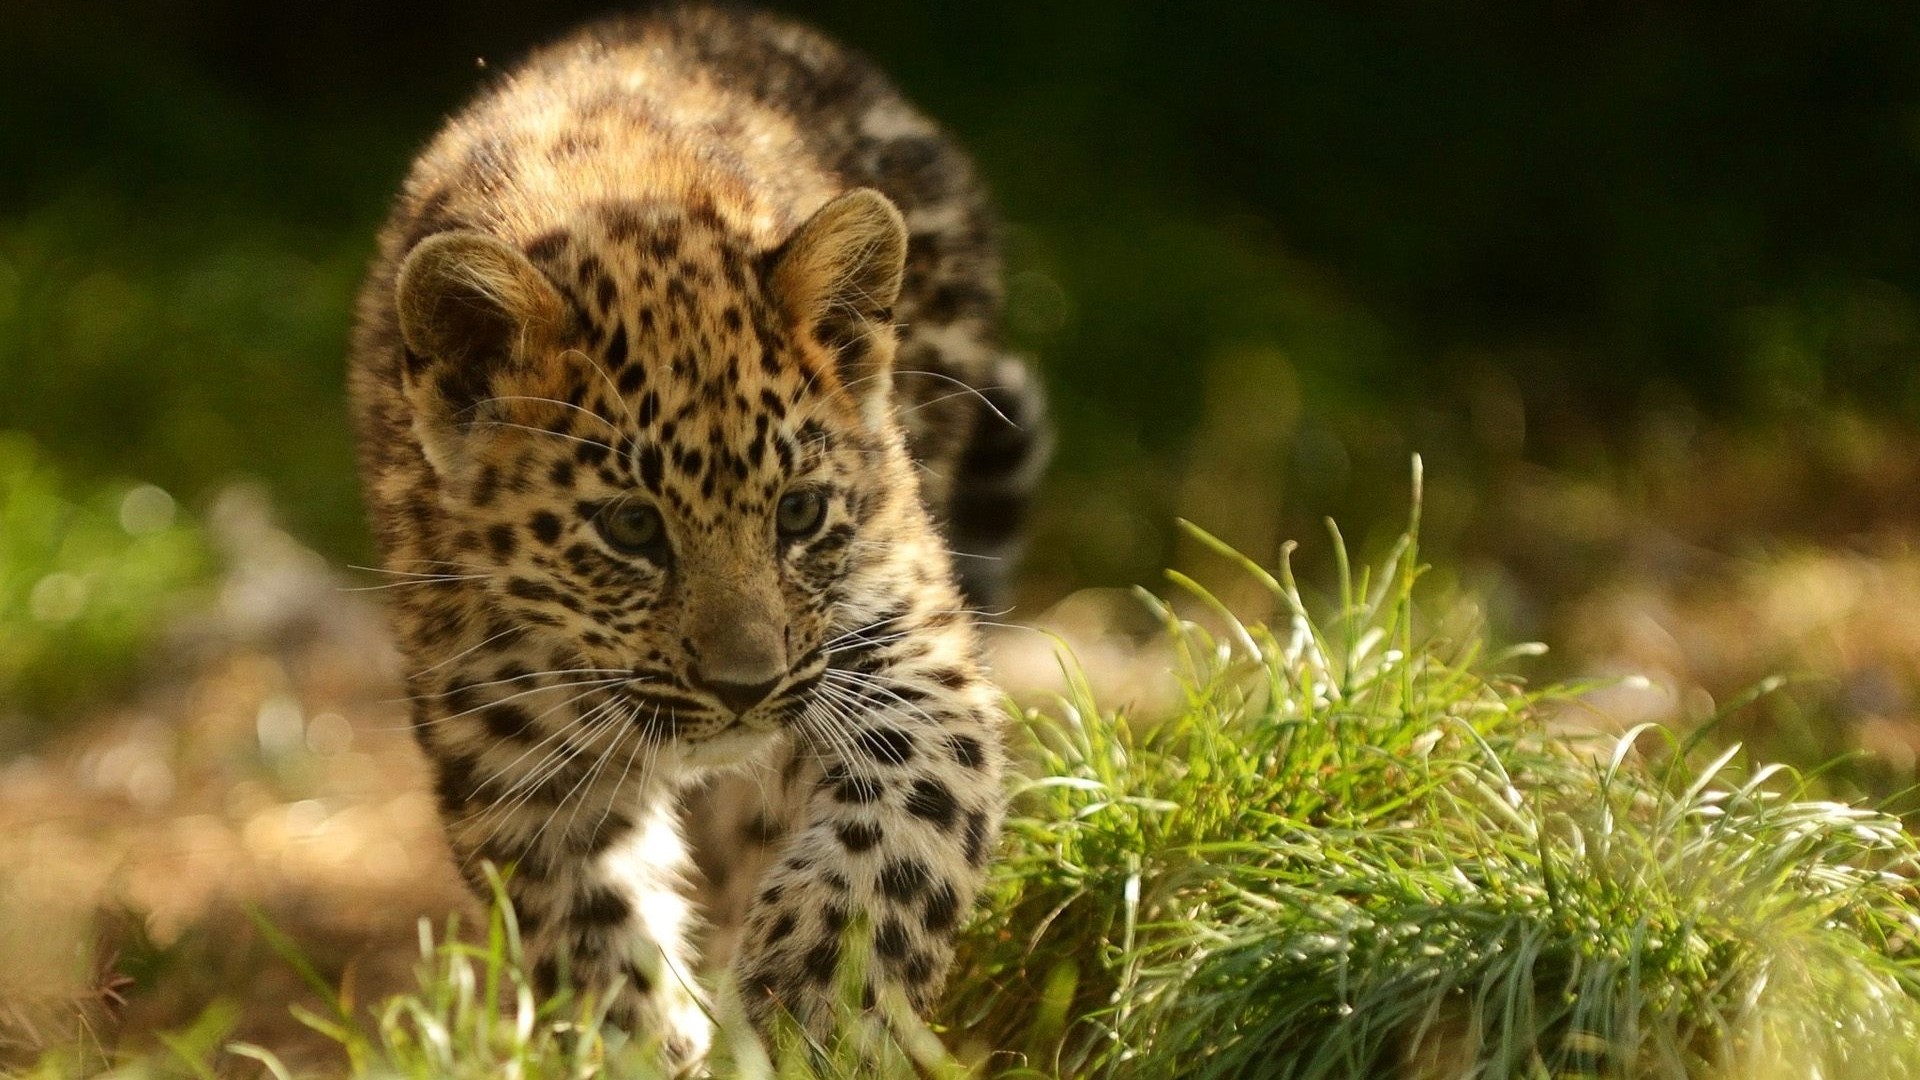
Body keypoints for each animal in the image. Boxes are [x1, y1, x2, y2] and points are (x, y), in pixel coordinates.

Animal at [346, 3, 1048, 1070]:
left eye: (798, 513)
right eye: (632, 528)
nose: (744, 689)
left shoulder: (895, 641)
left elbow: (902, 827)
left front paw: (816, 1002)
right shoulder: (516, 755)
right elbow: (598, 945)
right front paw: (654, 1046)